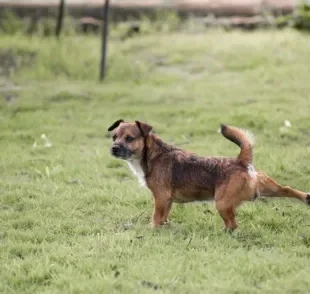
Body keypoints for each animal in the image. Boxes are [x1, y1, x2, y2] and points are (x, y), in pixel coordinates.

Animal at [107, 118, 310, 231]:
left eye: (129, 138)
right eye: (114, 137)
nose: (114, 148)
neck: (152, 155)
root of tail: (242, 162)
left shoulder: (161, 198)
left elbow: (156, 217)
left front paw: (153, 230)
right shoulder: (167, 201)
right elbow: (163, 217)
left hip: (222, 203)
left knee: (232, 224)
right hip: (266, 187)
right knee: (287, 189)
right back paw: (306, 197)